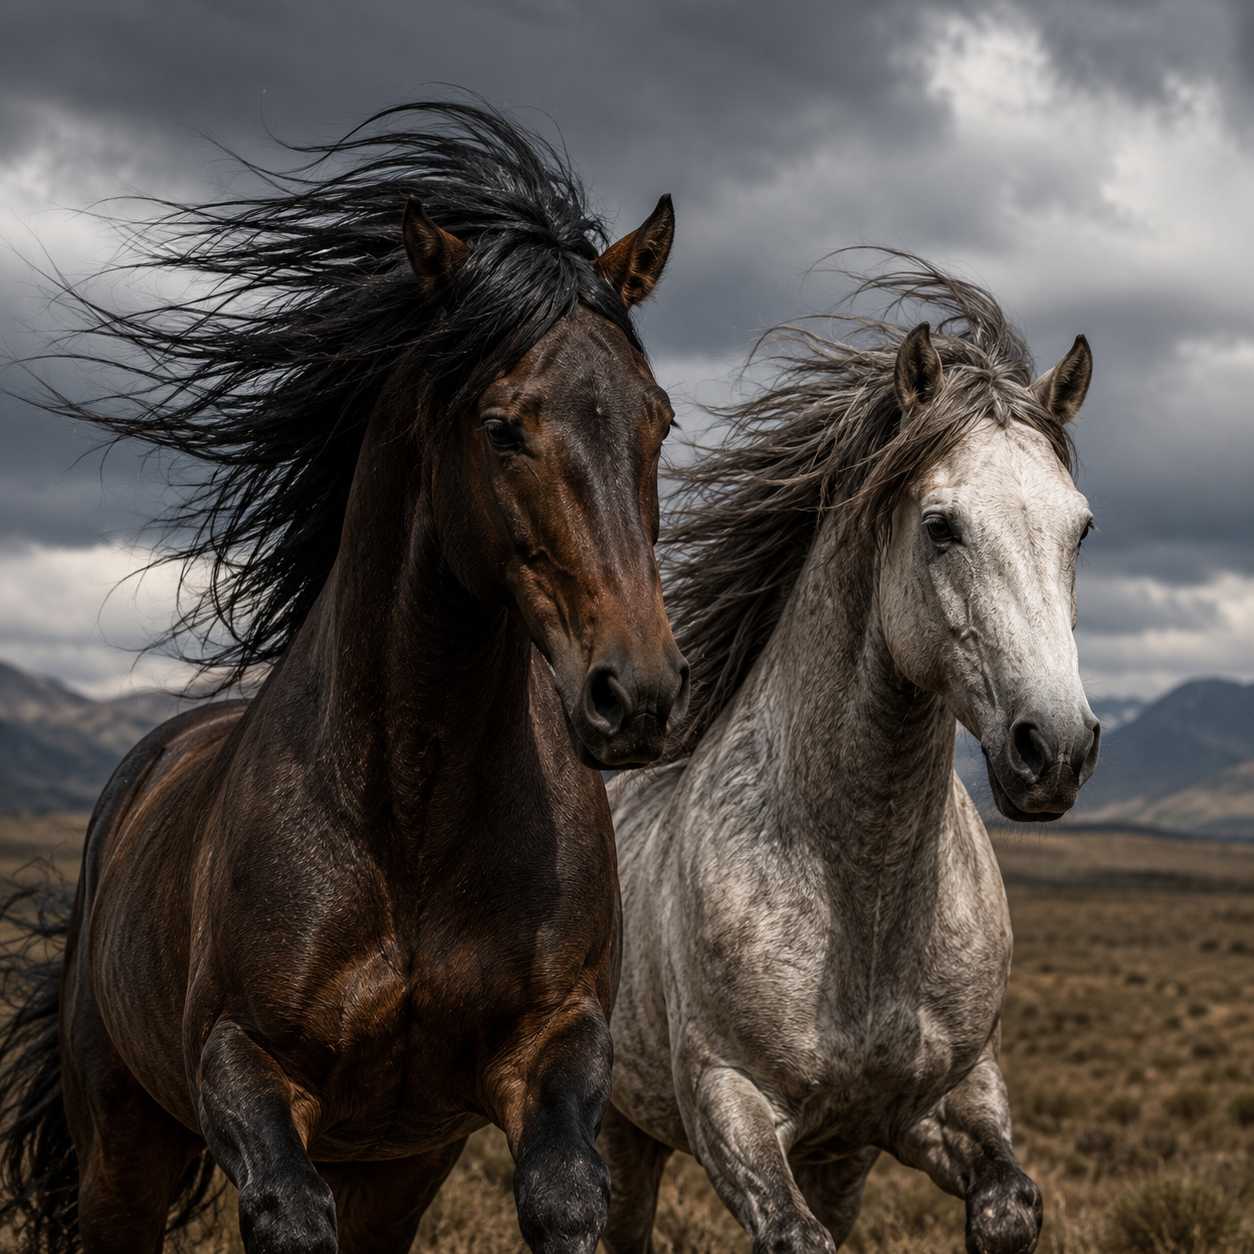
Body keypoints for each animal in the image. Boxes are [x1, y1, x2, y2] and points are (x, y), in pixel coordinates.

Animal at [0, 102, 689, 1254]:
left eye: (659, 419)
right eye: (500, 427)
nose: (636, 694)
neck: (409, 818)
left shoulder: (548, 1048)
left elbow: (564, 1192)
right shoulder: (247, 1068)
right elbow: (287, 1209)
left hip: (397, 1164)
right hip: (123, 1149)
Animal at [598, 258, 1100, 1254]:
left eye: (1082, 529)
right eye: (940, 525)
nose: (1056, 749)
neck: (860, 894)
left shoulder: (942, 1103)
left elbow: (1011, 1204)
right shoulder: (729, 1104)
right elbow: (793, 1235)